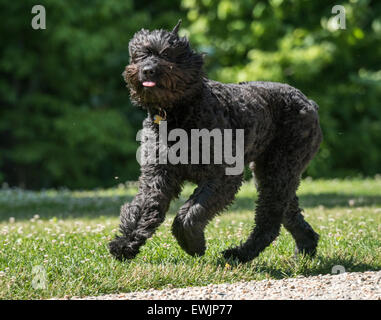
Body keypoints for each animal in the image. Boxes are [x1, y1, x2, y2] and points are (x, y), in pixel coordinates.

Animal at [108, 20, 322, 262]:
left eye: (168, 54)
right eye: (141, 54)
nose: (148, 70)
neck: (179, 114)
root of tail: (309, 103)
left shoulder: (222, 176)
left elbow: (191, 212)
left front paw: (193, 243)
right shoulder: (158, 174)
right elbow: (144, 209)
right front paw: (125, 244)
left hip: (278, 172)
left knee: (268, 221)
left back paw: (239, 254)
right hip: (275, 175)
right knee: (289, 213)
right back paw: (304, 249)